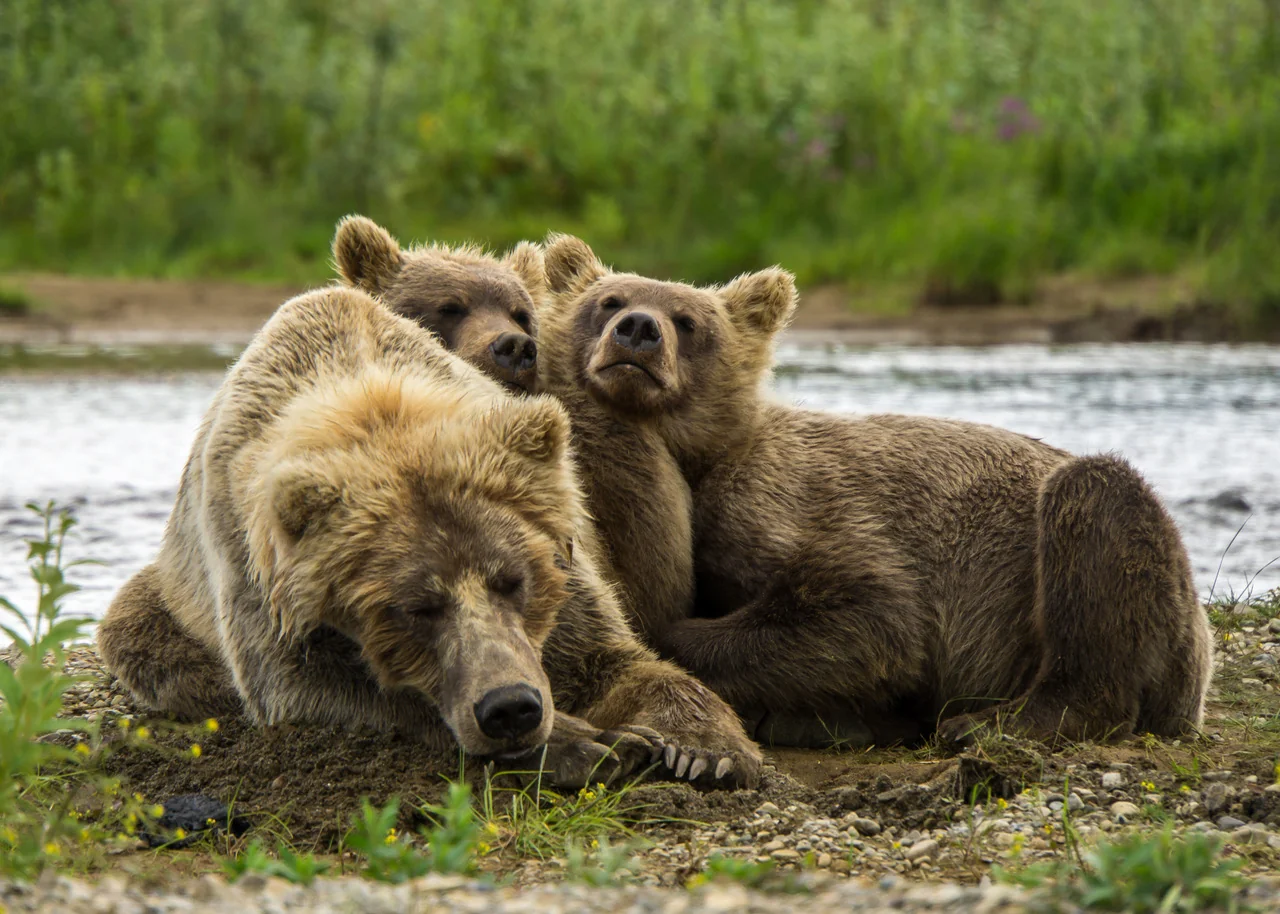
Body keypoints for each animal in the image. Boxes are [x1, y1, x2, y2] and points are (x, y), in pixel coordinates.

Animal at [97, 285, 762, 787]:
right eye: (416, 606)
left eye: (513, 580)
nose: (511, 708)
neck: (369, 404)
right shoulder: (254, 571)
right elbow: (313, 689)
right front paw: (590, 744)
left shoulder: (565, 565)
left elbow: (615, 656)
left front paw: (704, 747)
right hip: (171, 595)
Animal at [535, 233, 1215, 750]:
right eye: (608, 300)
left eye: (688, 320)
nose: (637, 329)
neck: (700, 461)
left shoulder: (787, 501)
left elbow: (873, 613)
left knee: (1097, 512)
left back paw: (989, 722)